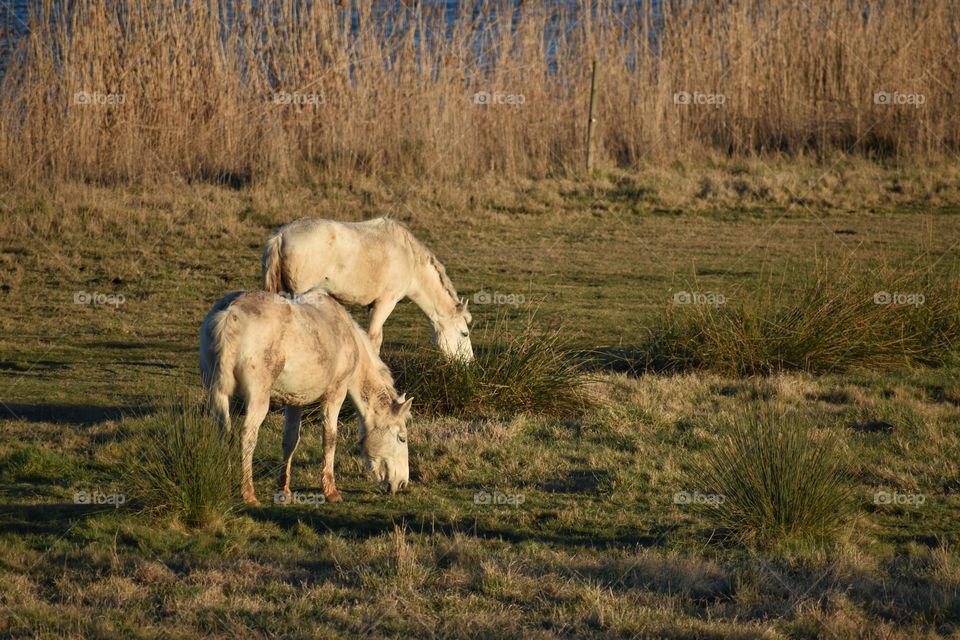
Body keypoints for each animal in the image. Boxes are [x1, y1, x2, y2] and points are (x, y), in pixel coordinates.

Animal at [199, 289, 413, 505]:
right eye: (402, 438)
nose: (402, 483)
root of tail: (230, 314)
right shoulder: (336, 393)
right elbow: (330, 438)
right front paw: (331, 491)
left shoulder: (294, 401)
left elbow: (290, 440)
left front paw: (284, 490)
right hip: (258, 398)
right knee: (247, 436)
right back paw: (248, 494)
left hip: (219, 395)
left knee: (225, 433)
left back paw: (226, 481)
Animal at [261, 216, 474, 361]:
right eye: (465, 333)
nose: (468, 363)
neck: (409, 257)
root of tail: (281, 236)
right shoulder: (386, 302)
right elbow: (374, 339)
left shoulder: (372, 306)